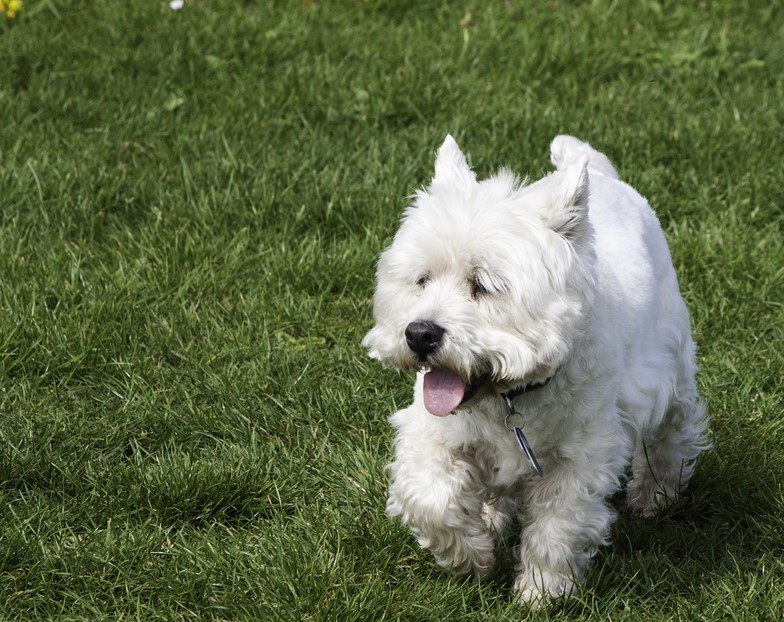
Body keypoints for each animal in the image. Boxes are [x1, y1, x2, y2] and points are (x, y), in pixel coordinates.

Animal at [362, 135, 712, 604]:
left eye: (484, 285)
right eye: (421, 279)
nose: (419, 334)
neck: (510, 397)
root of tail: (602, 174)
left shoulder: (582, 456)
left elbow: (557, 527)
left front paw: (541, 592)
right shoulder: (433, 434)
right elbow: (431, 498)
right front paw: (472, 557)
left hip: (671, 366)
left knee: (671, 432)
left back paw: (654, 495)